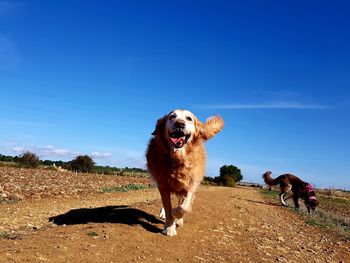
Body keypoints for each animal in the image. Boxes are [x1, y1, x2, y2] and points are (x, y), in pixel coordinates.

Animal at [146, 109, 224, 237]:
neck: (178, 159)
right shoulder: (163, 186)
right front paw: (169, 227)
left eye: (189, 118)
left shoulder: (191, 184)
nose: (180, 124)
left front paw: (177, 216)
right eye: (172, 116)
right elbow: (168, 207)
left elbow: (184, 207)